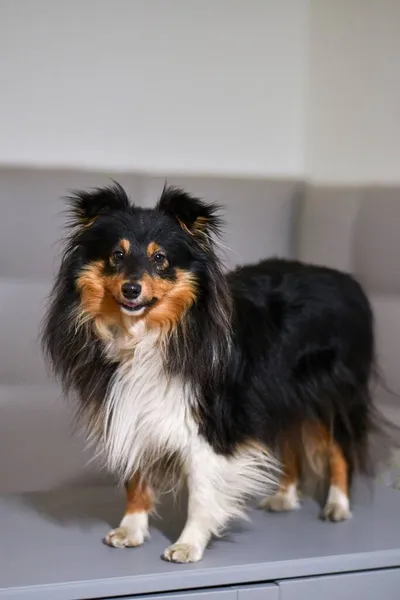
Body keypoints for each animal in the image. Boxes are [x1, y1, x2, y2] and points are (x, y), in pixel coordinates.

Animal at [42, 183, 382, 564]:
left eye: (160, 259)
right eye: (117, 254)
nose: (131, 289)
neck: (150, 334)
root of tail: (345, 280)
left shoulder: (210, 424)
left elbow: (202, 491)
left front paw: (188, 545)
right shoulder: (135, 409)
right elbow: (136, 477)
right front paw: (131, 529)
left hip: (331, 392)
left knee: (341, 448)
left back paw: (338, 505)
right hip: (282, 394)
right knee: (291, 443)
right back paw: (284, 496)